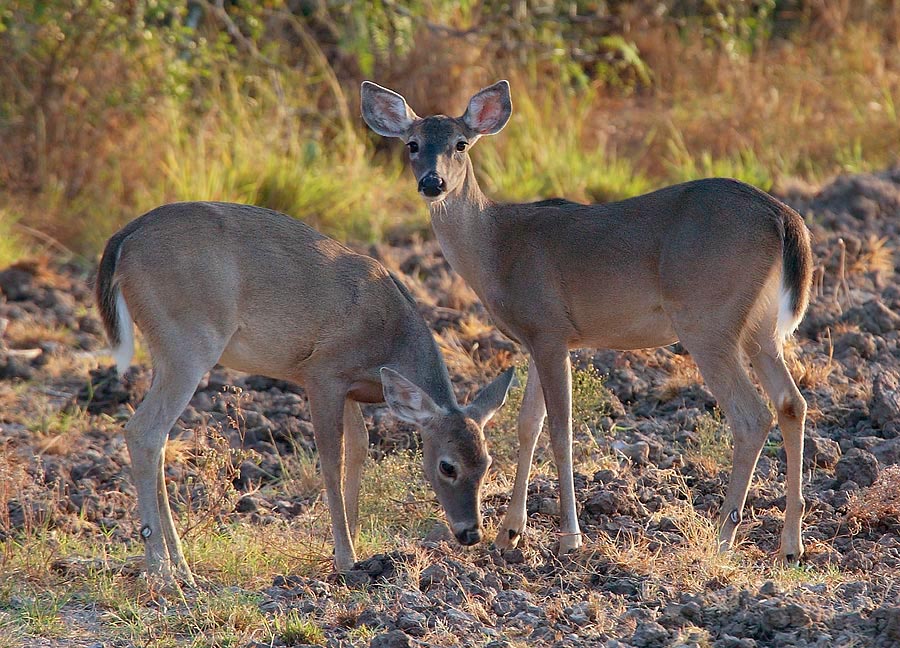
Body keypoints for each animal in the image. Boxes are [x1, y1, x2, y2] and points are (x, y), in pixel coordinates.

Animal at [96, 204, 516, 588]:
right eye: (447, 466)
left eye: (487, 463)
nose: (471, 533)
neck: (391, 336)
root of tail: (123, 240)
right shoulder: (322, 373)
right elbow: (331, 458)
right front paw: (346, 558)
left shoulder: (350, 387)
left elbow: (360, 447)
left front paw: (355, 542)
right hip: (189, 344)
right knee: (143, 432)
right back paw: (162, 572)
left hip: (165, 351)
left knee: (160, 438)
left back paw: (180, 567)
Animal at [360, 81, 816, 564]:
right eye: (412, 144)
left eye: (460, 144)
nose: (433, 182)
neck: (497, 248)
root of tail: (785, 218)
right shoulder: (537, 338)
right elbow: (528, 425)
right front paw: (510, 533)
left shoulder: (549, 330)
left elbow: (560, 431)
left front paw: (569, 537)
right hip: (760, 327)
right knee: (791, 402)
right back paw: (791, 544)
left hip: (707, 318)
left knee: (751, 416)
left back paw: (723, 539)